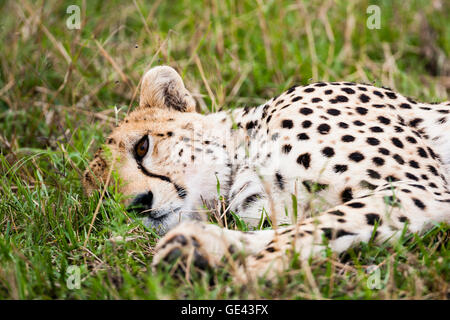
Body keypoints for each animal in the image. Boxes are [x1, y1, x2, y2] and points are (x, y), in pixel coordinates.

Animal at [84, 66, 450, 282]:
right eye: (107, 202)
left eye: (142, 147)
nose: (139, 204)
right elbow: (304, 228)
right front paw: (199, 248)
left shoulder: (423, 189)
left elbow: (316, 226)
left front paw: (251, 272)